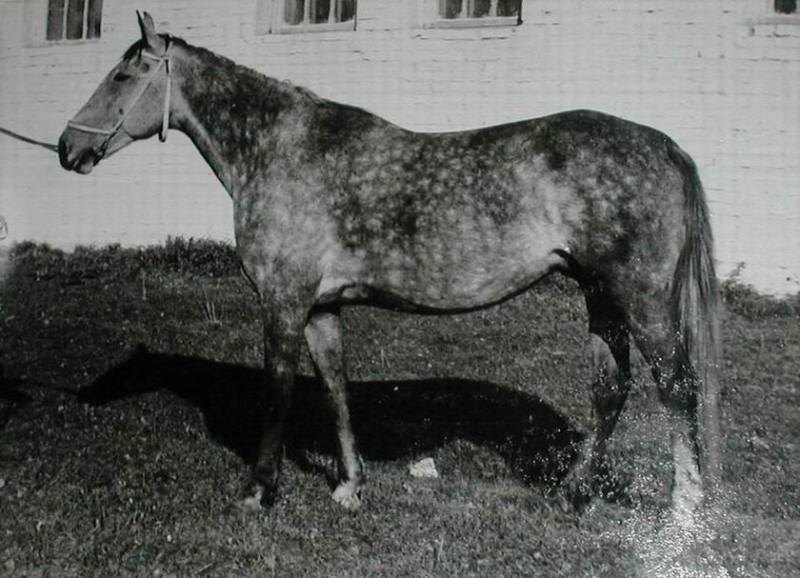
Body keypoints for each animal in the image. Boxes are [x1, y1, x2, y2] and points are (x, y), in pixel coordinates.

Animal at [57, 10, 720, 512]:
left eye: (123, 74)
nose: (68, 147)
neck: (279, 150)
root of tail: (666, 145)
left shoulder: (283, 302)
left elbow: (278, 393)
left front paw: (259, 492)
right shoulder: (321, 307)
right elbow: (335, 389)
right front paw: (350, 486)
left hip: (640, 298)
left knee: (677, 389)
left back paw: (683, 513)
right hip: (600, 295)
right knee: (611, 390)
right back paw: (573, 493)